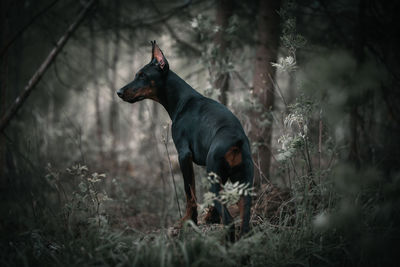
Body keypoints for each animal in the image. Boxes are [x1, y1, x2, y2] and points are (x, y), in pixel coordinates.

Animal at [117, 40, 253, 239]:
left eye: (142, 75)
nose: (119, 92)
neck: (181, 100)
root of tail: (237, 141)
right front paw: (209, 217)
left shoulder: (183, 155)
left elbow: (190, 192)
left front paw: (188, 221)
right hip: (244, 184)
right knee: (245, 222)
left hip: (214, 174)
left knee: (228, 220)